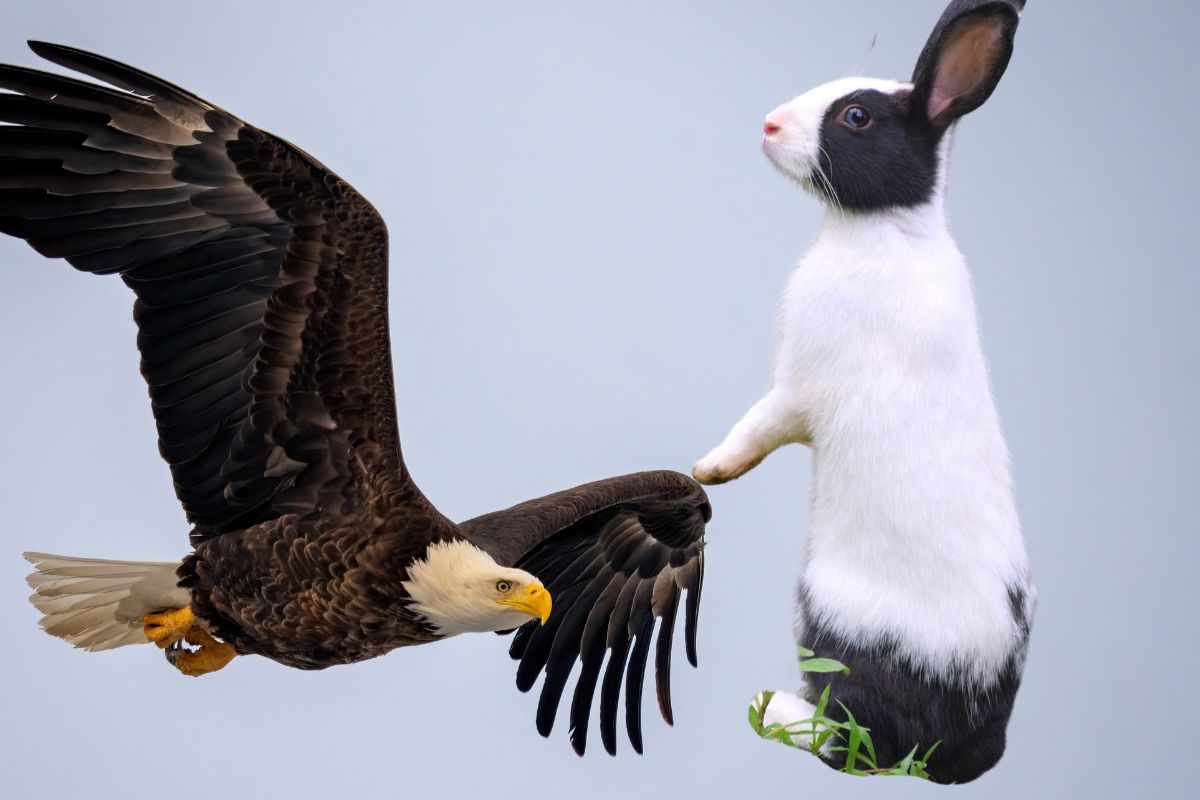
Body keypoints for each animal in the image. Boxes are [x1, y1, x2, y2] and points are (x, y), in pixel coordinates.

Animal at [694, 0, 1036, 785]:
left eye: (855, 117)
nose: (769, 124)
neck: (887, 231)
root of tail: (963, 745)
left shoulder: (797, 387)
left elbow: (757, 426)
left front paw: (708, 469)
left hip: (833, 620)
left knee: (860, 742)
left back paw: (773, 711)